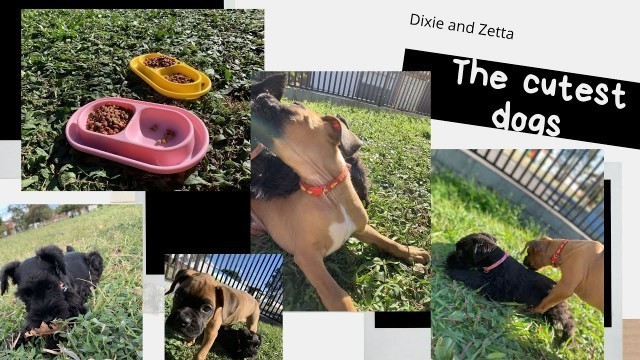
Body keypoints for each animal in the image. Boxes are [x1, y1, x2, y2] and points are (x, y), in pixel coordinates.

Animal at [251, 76, 430, 312]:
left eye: (294, 107)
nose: (260, 96)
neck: (327, 191)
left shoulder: (362, 228)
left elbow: (387, 241)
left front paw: (412, 252)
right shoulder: (308, 257)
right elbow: (338, 296)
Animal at [444, 232, 576, 342]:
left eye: (461, 252)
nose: (448, 258)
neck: (495, 262)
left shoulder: (493, 287)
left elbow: (473, 276)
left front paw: (454, 271)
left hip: (555, 308)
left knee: (568, 321)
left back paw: (566, 340)